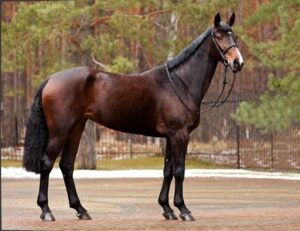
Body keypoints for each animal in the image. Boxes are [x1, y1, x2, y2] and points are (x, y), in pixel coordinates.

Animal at [23, 11, 244, 221]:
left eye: (234, 36)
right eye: (219, 36)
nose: (238, 62)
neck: (180, 82)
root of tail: (51, 79)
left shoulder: (170, 137)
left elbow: (168, 171)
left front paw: (167, 209)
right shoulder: (180, 135)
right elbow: (179, 171)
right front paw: (183, 209)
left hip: (76, 129)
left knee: (67, 166)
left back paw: (81, 210)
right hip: (59, 132)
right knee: (47, 164)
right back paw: (46, 210)